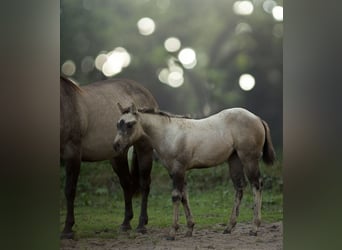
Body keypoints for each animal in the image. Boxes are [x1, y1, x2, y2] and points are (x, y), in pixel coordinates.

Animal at [59, 76, 158, 238]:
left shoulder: (72, 154)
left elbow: (69, 190)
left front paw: (67, 229)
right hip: (118, 156)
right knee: (127, 184)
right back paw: (126, 223)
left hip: (144, 148)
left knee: (144, 184)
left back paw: (141, 224)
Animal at [112, 104, 276, 240]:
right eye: (118, 124)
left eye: (130, 124)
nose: (116, 145)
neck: (169, 134)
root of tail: (257, 118)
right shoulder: (176, 172)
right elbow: (184, 196)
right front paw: (189, 229)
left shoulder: (178, 170)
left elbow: (176, 196)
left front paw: (172, 232)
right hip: (234, 160)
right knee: (240, 186)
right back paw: (229, 227)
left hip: (249, 159)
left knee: (257, 184)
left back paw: (254, 228)